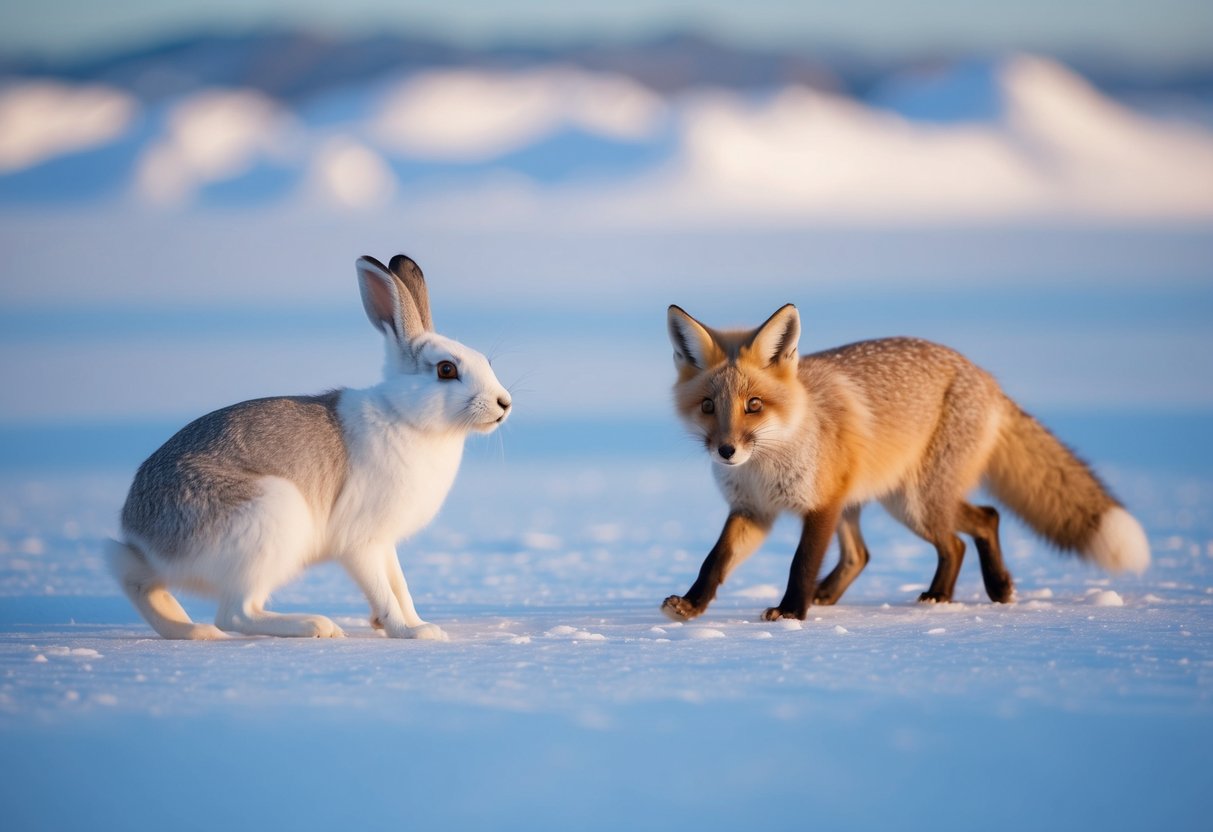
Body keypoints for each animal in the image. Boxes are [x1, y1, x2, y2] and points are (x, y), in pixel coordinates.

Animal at [107, 254, 511, 640]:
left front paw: (418, 625)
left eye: (486, 361)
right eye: (446, 370)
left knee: (144, 586)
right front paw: (412, 632)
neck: (406, 415)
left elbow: (401, 587)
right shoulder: (361, 543)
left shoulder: (385, 542)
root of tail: (142, 538)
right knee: (237, 613)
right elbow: (384, 591)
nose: (504, 403)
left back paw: (194, 631)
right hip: (271, 521)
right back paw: (315, 625)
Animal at [661, 303, 1150, 623]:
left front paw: (791, 612)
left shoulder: (820, 506)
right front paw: (691, 605)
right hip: (891, 502)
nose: (726, 451)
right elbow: (715, 560)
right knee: (879, 551)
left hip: (915, 502)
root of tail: (985, 376)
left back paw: (969, 591)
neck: (764, 466)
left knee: (972, 528)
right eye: (709, 406)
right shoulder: (753, 510)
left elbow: (801, 563)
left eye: (754, 405)